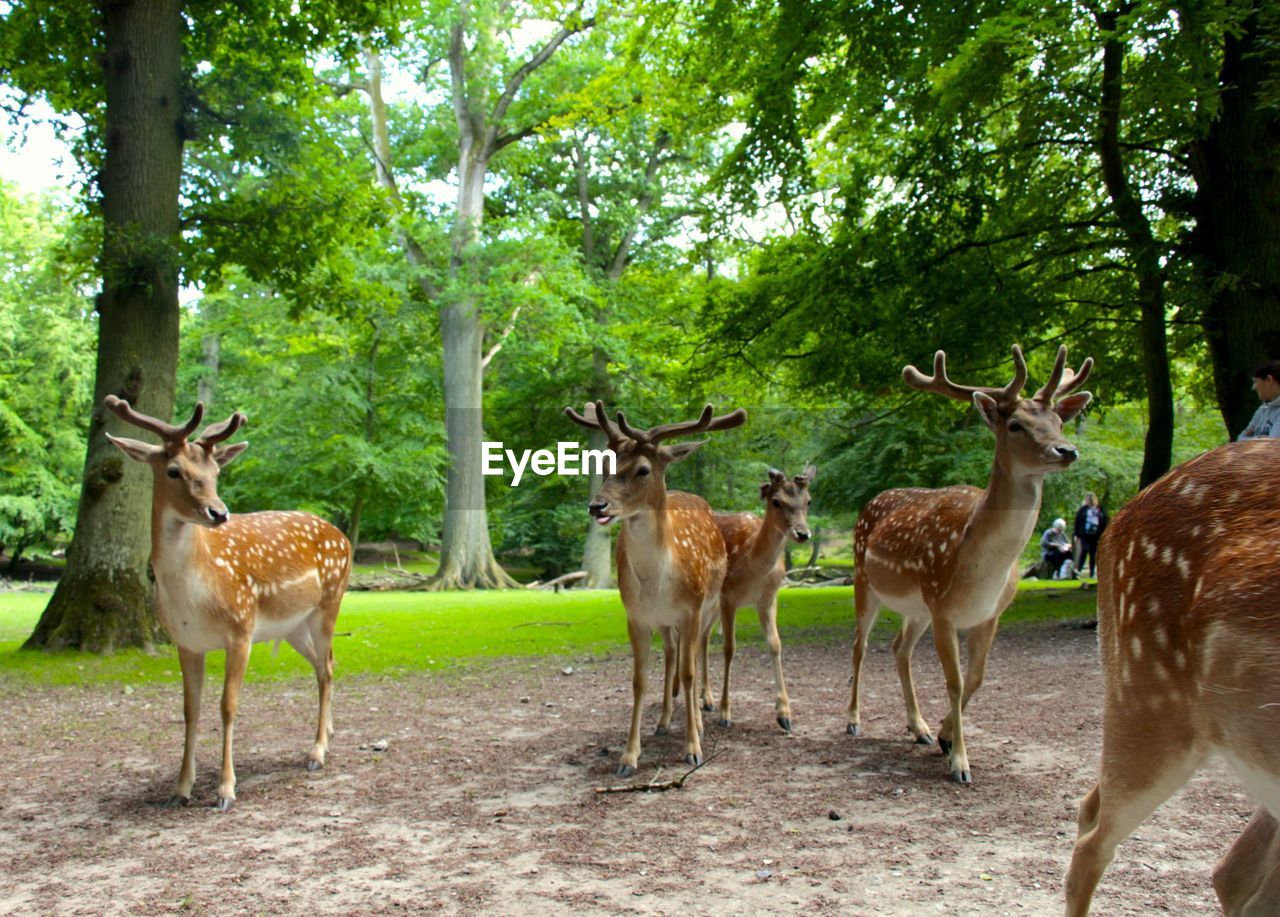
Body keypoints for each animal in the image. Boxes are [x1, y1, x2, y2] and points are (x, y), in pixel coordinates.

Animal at [103, 394, 353, 809]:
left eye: (215, 472)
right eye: (173, 470)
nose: (218, 512)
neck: (193, 596)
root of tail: (343, 536)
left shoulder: (241, 628)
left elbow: (228, 705)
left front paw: (225, 789)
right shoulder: (186, 642)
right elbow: (190, 709)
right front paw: (180, 789)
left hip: (329, 604)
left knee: (326, 669)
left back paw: (317, 753)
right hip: (294, 626)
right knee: (326, 663)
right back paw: (329, 735)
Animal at [563, 399, 747, 773]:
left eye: (643, 469)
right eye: (604, 464)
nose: (597, 505)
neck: (657, 581)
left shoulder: (692, 609)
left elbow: (689, 673)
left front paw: (693, 747)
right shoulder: (636, 616)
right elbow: (639, 680)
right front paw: (628, 755)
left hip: (710, 605)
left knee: (700, 650)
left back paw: (704, 712)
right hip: (665, 621)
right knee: (673, 655)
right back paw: (664, 720)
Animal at [696, 466, 814, 732]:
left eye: (808, 500)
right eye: (776, 501)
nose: (803, 533)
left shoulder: (768, 598)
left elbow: (775, 644)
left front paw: (784, 715)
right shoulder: (728, 597)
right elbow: (729, 648)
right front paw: (725, 713)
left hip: (712, 607)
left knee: (702, 638)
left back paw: (706, 699)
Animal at [844, 343, 1095, 778]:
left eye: (1058, 420)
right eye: (1016, 425)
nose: (1066, 450)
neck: (982, 568)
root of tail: (873, 500)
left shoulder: (990, 613)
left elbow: (977, 677)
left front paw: (946, 738)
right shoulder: (943, 610)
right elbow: (956, 681)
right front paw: (960, 763)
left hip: (917, 607)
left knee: (899, 648)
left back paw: (920, 728)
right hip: (865, 581)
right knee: (861, 646)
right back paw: (854, 721)